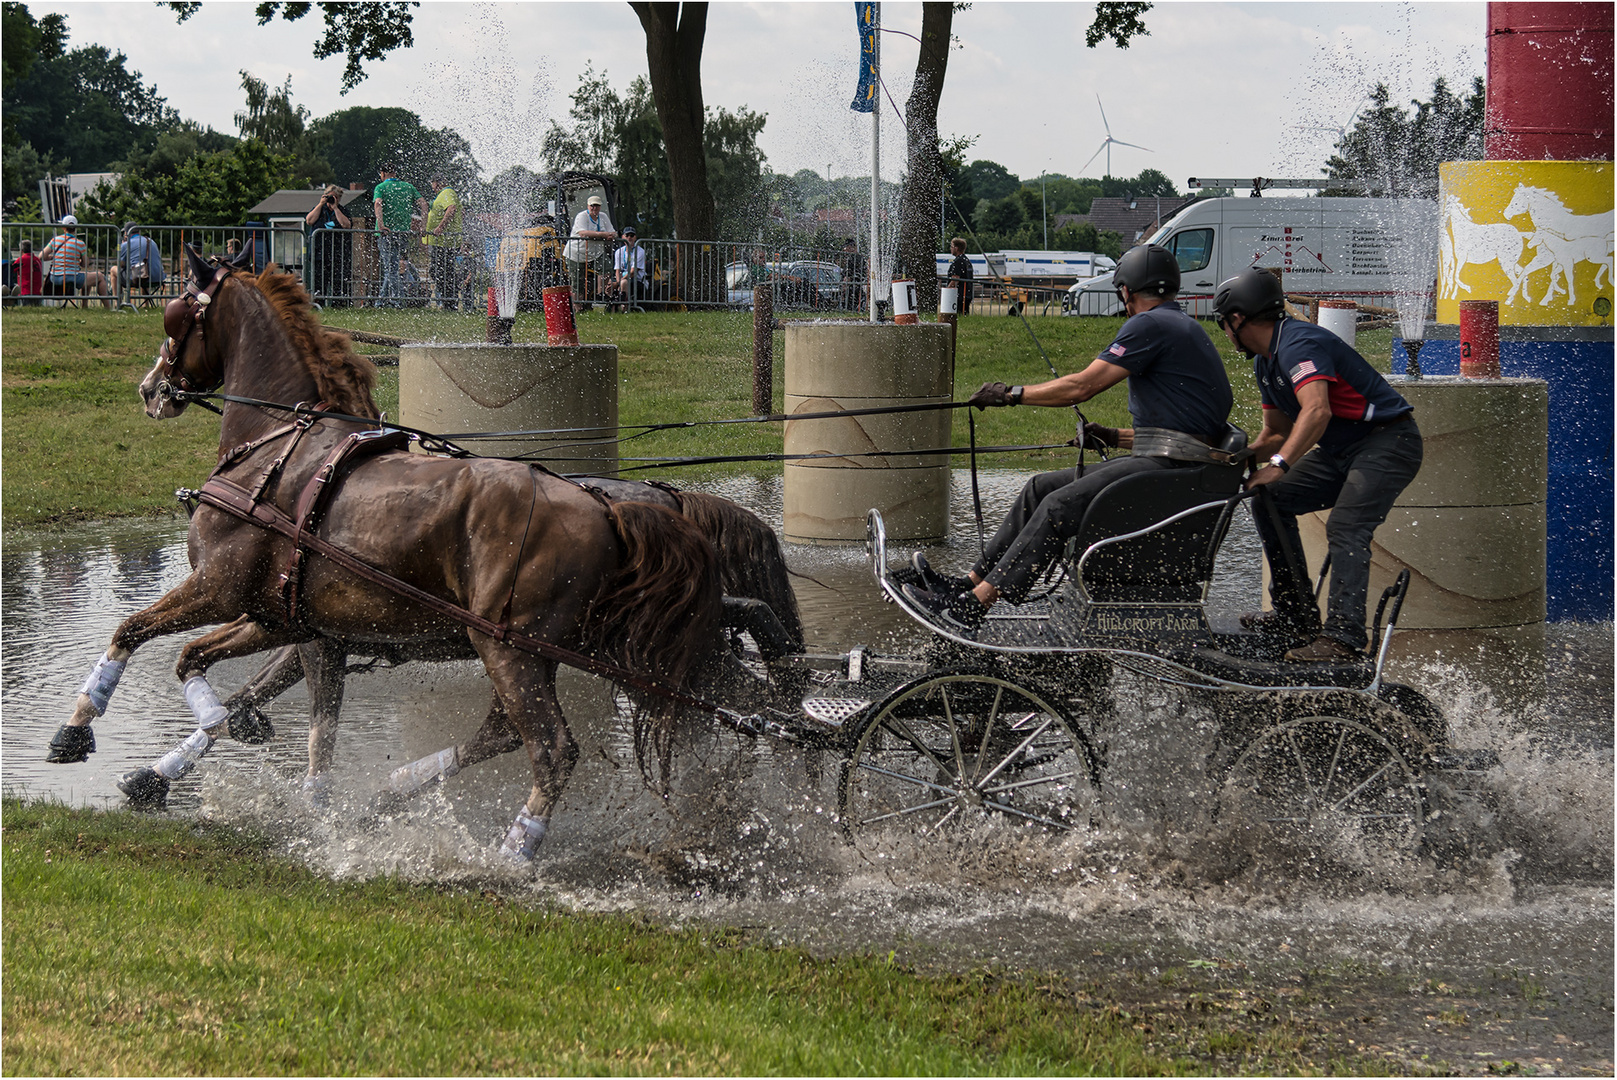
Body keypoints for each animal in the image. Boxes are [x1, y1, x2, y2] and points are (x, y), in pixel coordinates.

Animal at [47, 247, 727, 860]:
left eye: (175, 315)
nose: (150, 390)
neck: (275, 448)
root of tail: (603, 506)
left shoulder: (220, 588)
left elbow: (132, 631)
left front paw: (78, 727)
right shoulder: (288, 619)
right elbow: (267, 702)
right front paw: (266, 784)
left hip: (509, 651)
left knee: (552, 750)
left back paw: (513, 853)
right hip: (529, 655)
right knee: (503, 734)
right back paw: (397, 791)